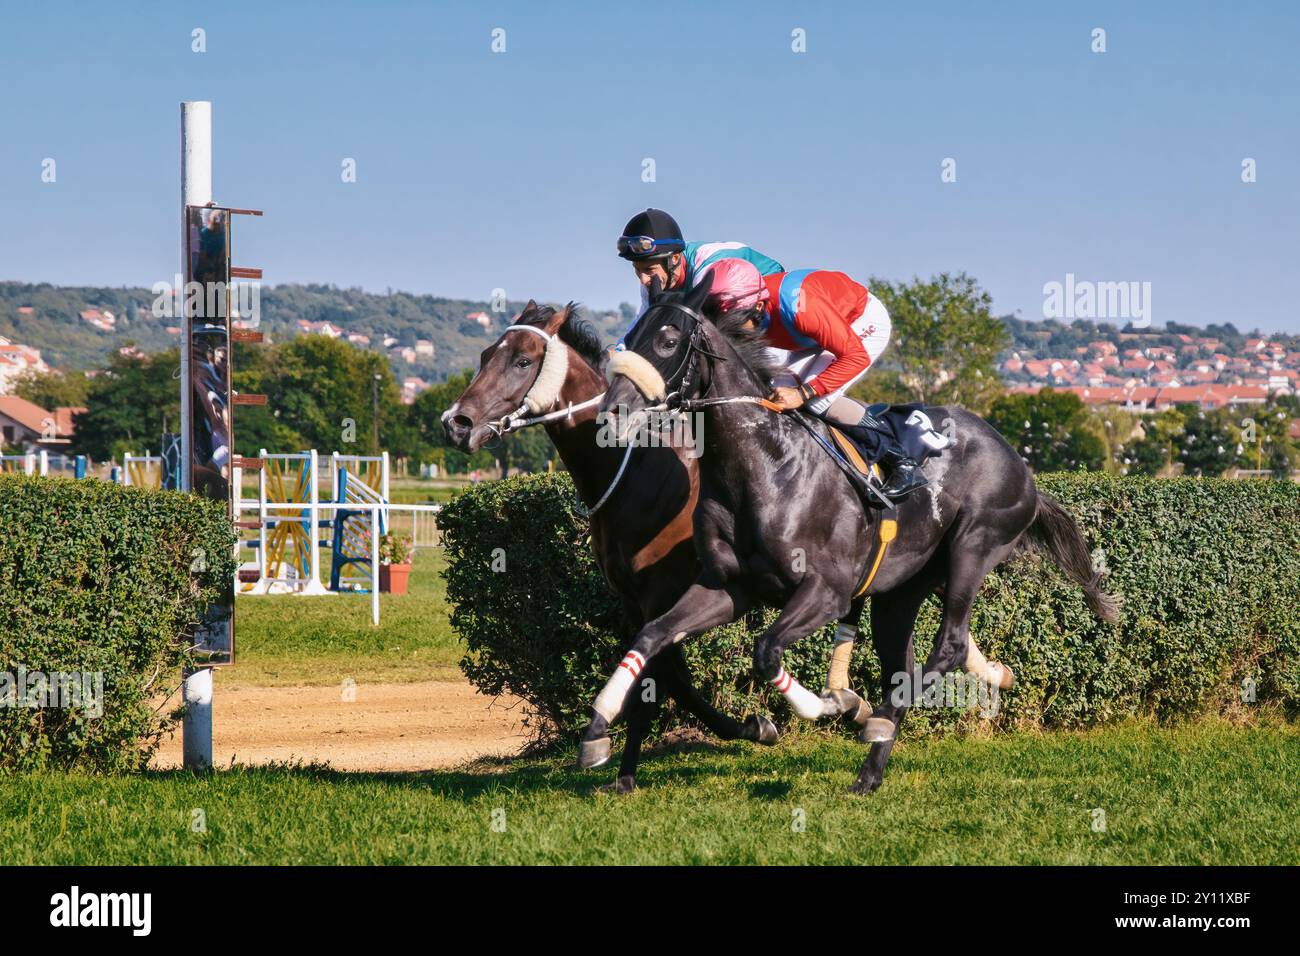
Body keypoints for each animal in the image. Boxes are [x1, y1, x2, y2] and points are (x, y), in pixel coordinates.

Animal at [582, 277, 1118, 790]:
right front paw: (596, 732)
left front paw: (828, 705)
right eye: (629, 336)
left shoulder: (826, 591)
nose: (612, 411)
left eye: (669, 339)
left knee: (949, 645)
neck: (763, 464)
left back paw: (877, 720)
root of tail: (1021, 466)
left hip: (974, 544)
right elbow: (651, 635)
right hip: (900, 593)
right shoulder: (728, 588)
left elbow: (765, 651)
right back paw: (870, 771)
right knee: (904, 662)